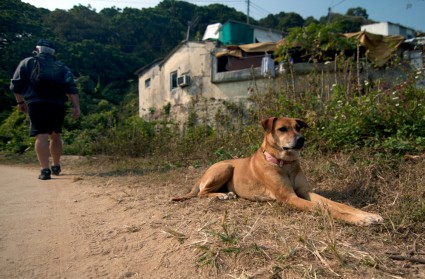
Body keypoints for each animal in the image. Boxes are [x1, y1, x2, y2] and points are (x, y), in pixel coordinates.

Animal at [171, 117, 382, 226]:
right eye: (282, 129)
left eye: (298, 127)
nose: (301, 139)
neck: (285, 164)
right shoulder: (290, 197)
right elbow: (326, 209)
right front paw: (360, 220)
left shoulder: (306, 192)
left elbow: (336, 204)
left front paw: (368, 215)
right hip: (225, 167)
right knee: (201, 193)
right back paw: (222, 195)